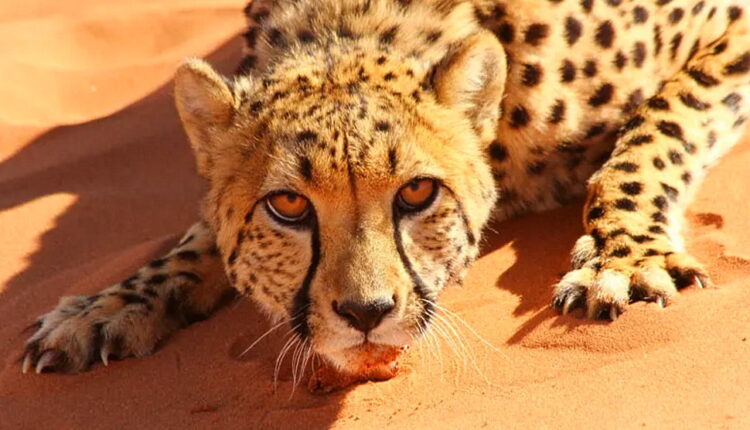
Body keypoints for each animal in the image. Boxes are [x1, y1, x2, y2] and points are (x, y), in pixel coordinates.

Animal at [21, 0, 750, 378]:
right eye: (288, 204)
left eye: (417, 193)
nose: (366, 313)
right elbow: (198, 235)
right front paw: (110, 304)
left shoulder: (729, 28)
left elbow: (658, 129)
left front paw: (627, 258)